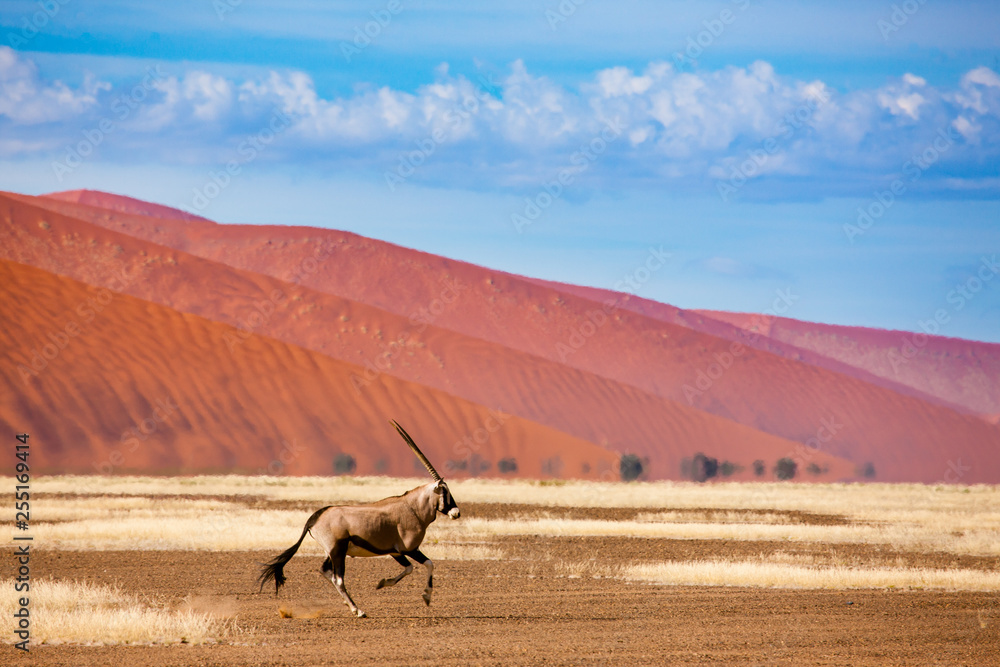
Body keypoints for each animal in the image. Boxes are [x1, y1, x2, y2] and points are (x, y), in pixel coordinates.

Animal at [257, 420, 460, 618]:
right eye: (445, 492)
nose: (456, 513)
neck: (413, 508)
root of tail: (316, 516)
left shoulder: (395, 552)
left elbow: (412, 567)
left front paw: (383, 583)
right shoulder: (407, 549)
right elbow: (427, 564)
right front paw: (425, 596)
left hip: (332, 552)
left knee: (326, 571)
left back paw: (350, 606)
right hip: (338, 551)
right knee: (338, 578)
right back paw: (358, 610)